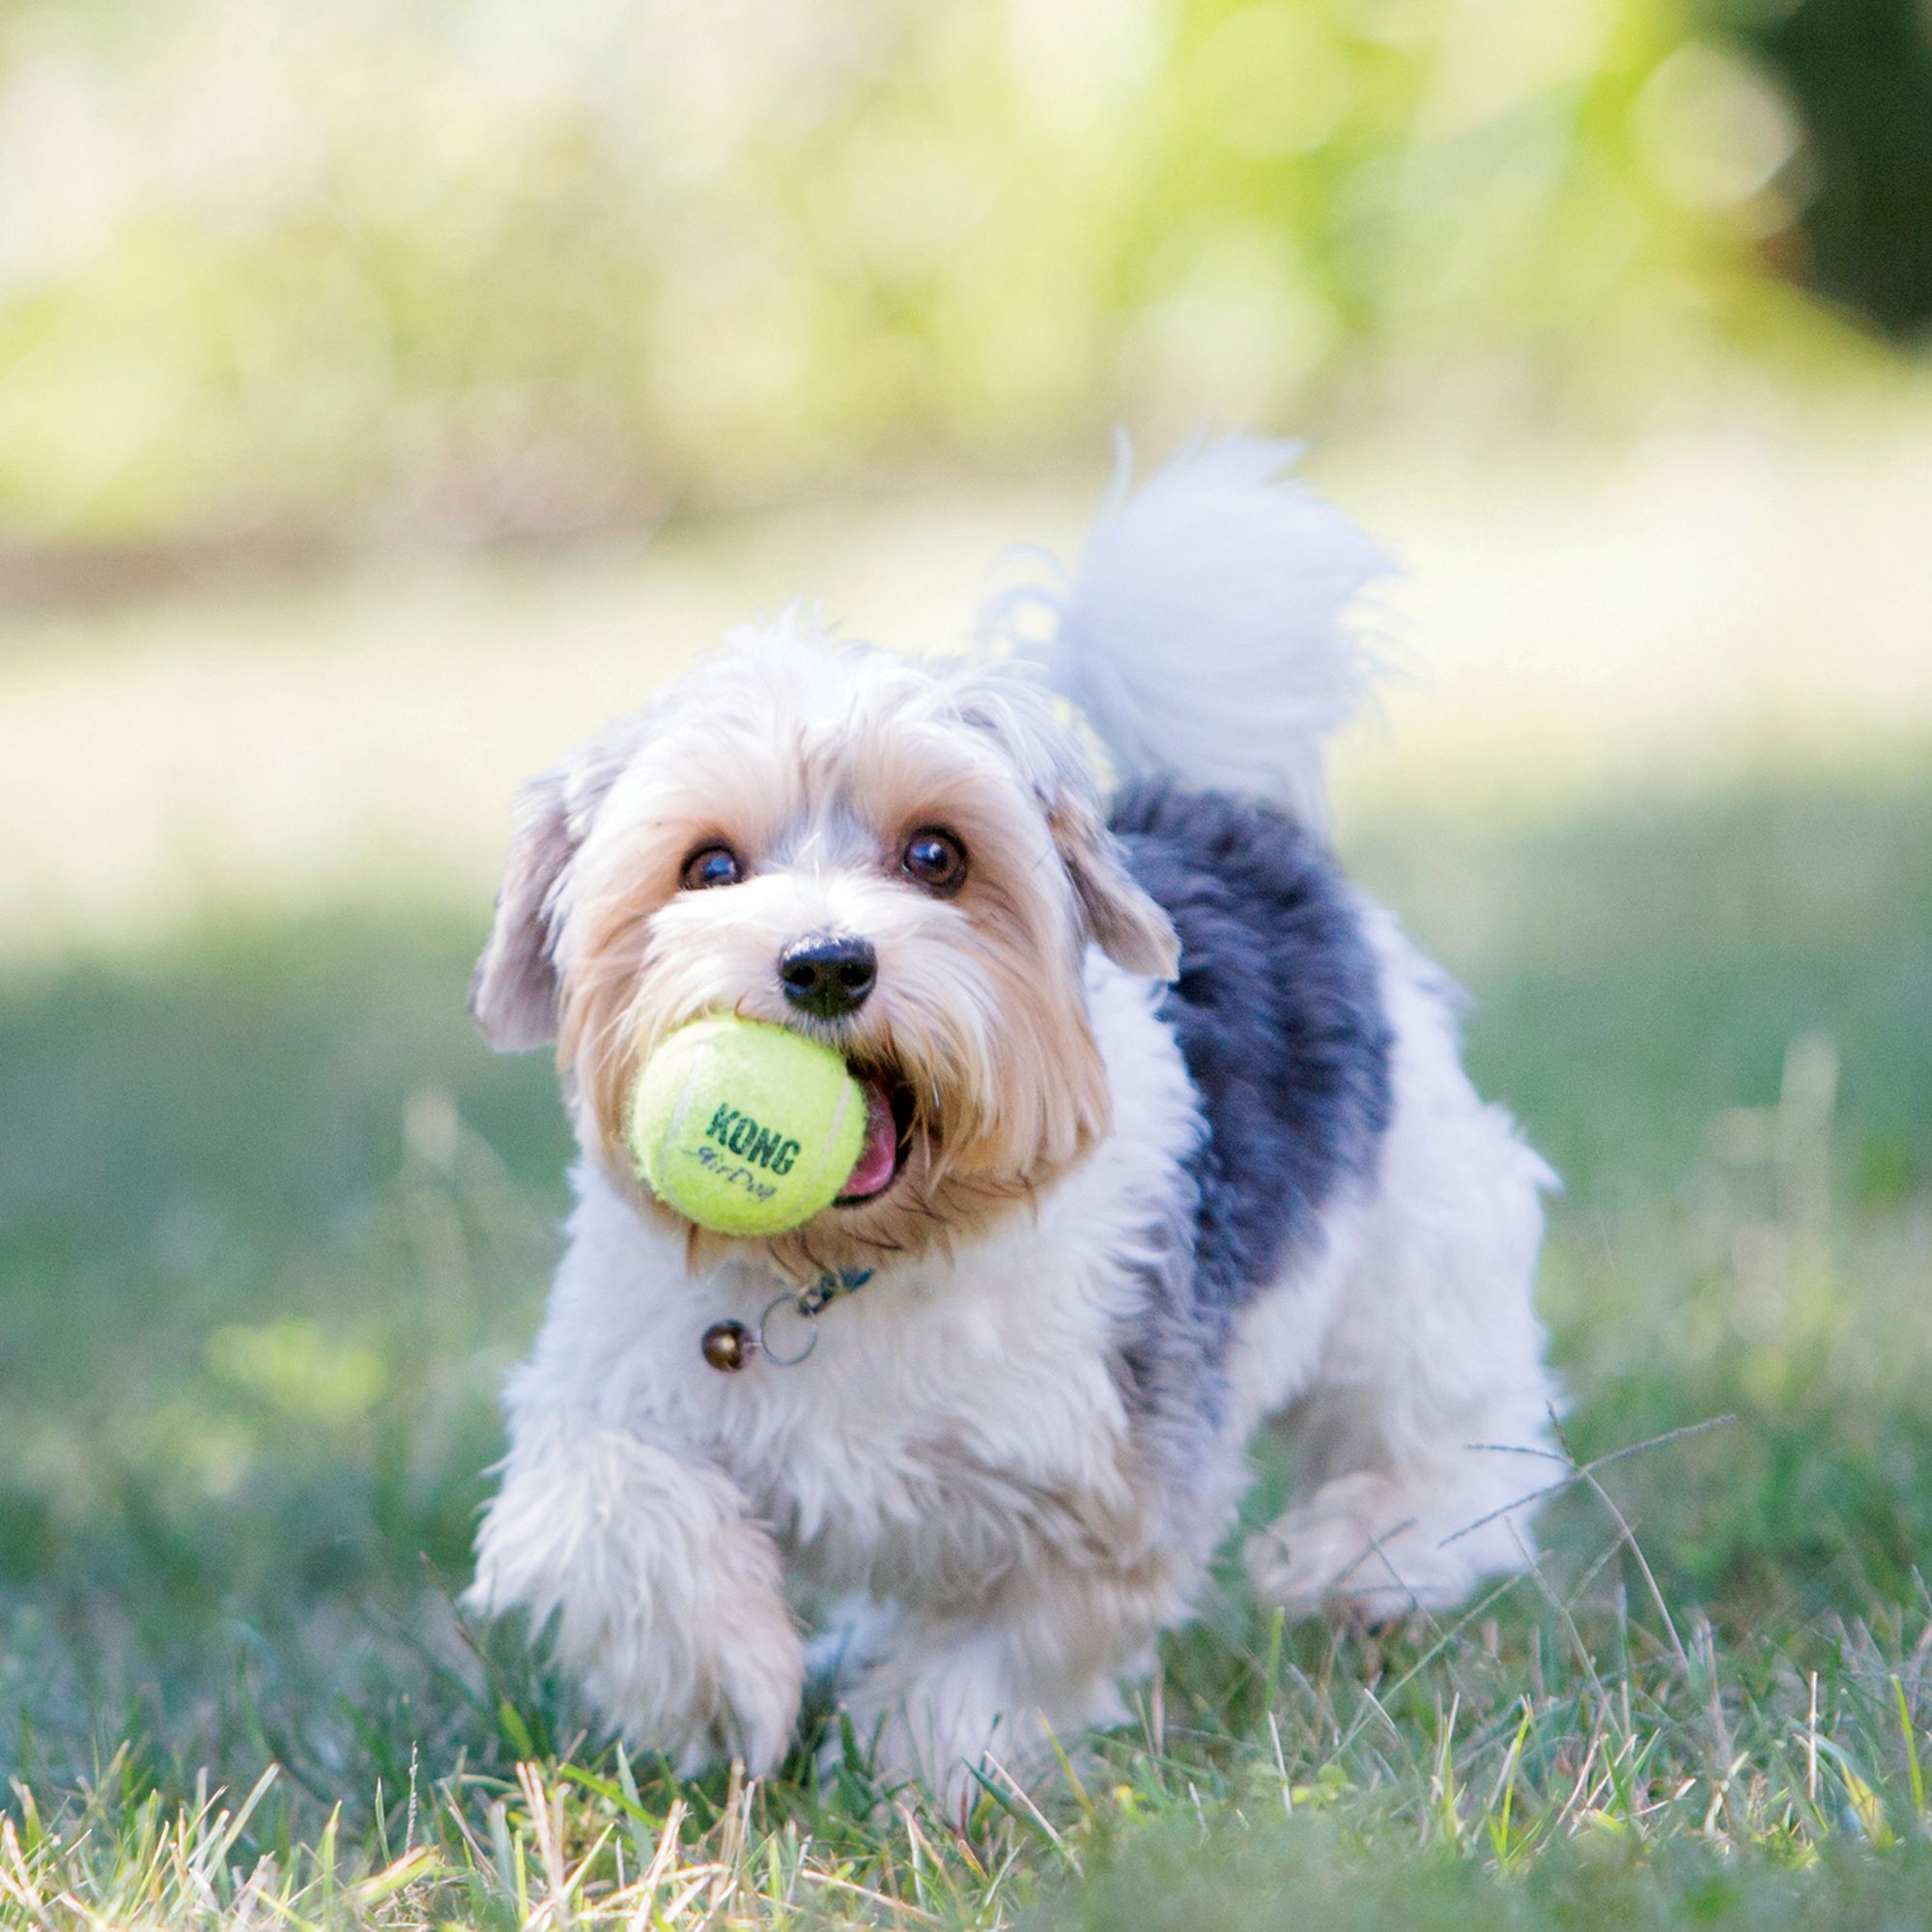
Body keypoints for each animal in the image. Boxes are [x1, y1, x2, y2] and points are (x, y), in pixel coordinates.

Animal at [464, 439, 1553, 1793]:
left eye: (935, 855)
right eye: (708, 866)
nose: (826, 962)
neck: (850, 1267)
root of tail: (1230, 813)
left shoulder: (1108, 1472)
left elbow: (1017, 1640)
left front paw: (918, 1759)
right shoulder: (600, 1393)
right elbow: (612, 1512)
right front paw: (736, 1688)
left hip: (1414, 1249)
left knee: (1457, 1432)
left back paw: (1355, 1556)